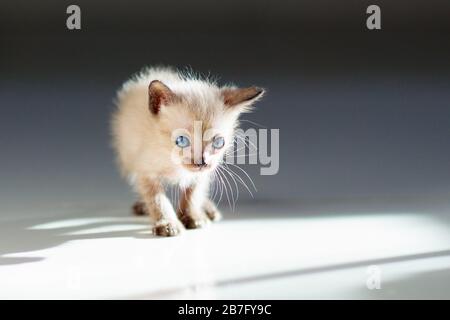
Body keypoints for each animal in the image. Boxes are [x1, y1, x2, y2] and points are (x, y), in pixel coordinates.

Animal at [110, 67, 264, 236]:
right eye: (182, 141)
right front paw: (167, 223)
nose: (202, 162)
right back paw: (142, 206)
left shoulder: (203, 173)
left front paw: (192, 217)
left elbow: (193, 193)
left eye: (218, 143)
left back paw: (207, 209)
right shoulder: (145, 170)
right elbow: (156, 198)